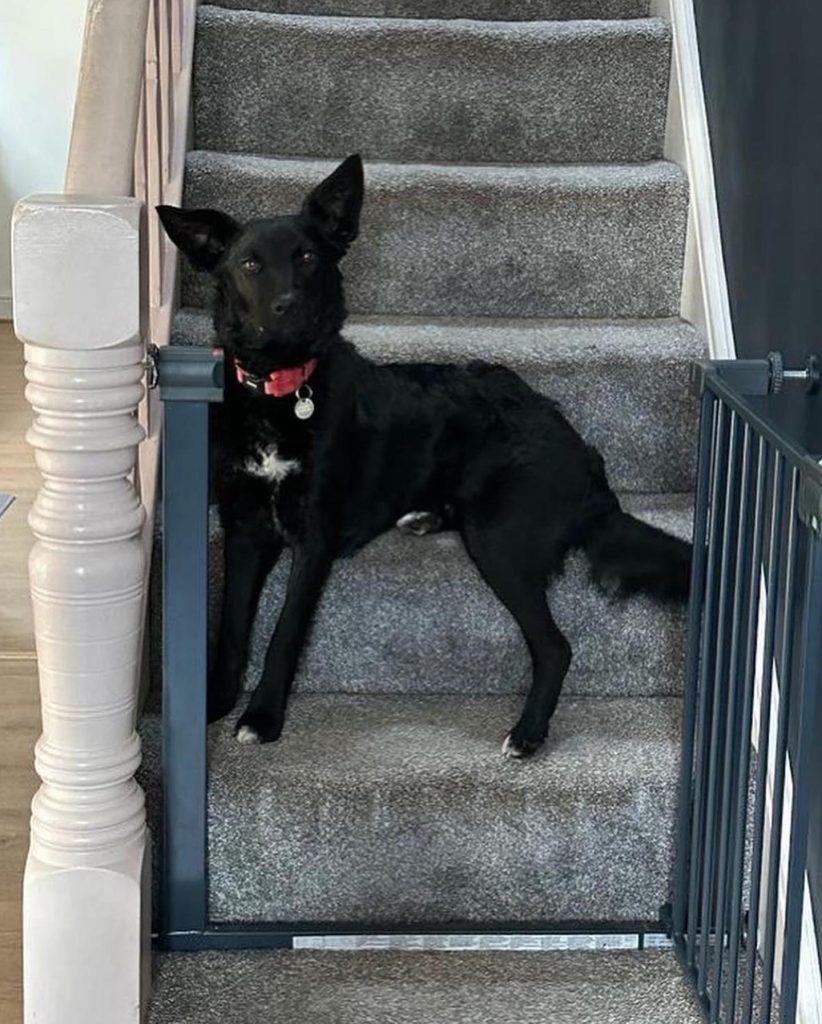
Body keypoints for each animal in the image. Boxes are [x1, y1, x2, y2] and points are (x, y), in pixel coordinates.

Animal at [157, 153, 691, 761]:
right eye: (249, 263)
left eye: (308, 257)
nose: (289, 308)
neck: (282, 391)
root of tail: (581, 452)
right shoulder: (245, 528)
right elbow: (231, 627)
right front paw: (213, 702)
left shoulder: (314, 537)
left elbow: (284, 633)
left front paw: (262, 717)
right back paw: (424, 516)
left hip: (499, 538)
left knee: (556, 648)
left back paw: (527, 734)